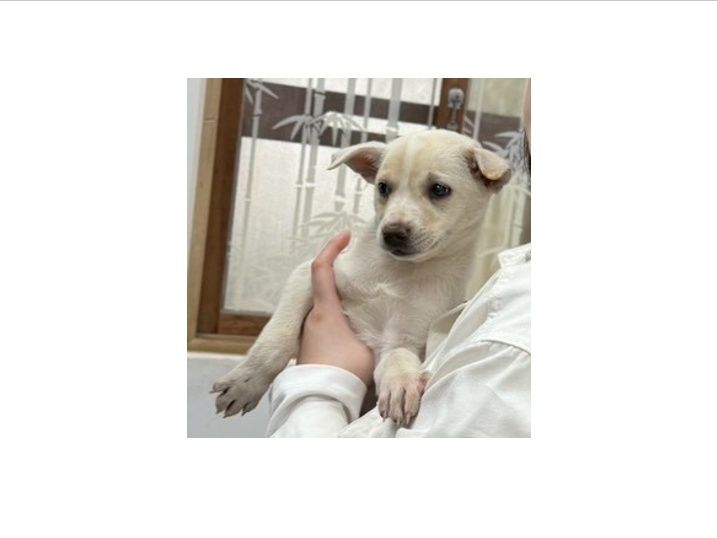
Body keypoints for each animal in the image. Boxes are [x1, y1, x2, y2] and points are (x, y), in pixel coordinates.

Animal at [212, 129, 511, 425]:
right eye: (383, 187)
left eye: (439, 189)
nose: (392, 233)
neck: (398, 272)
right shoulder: (306, 275)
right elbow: (277, 339)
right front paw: (246, 382)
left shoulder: (400, 339)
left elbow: (399, 358)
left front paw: (402, 385)